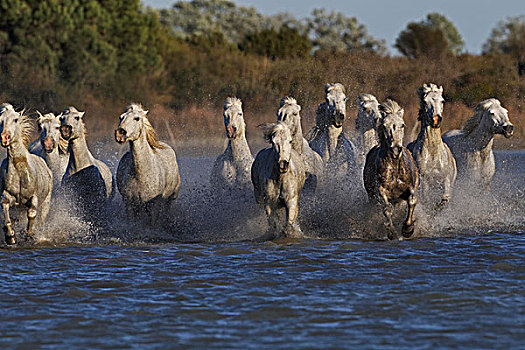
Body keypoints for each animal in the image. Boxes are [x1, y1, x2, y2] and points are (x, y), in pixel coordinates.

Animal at [362, 98, 420, 241]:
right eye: (384, 125)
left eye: (402, 125)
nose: (395, 150)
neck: (394, 168)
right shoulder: (381, 192)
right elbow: (386, 209)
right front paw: (392, 233)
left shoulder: (410, 187)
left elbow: (412, 201)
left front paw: (407, 229)